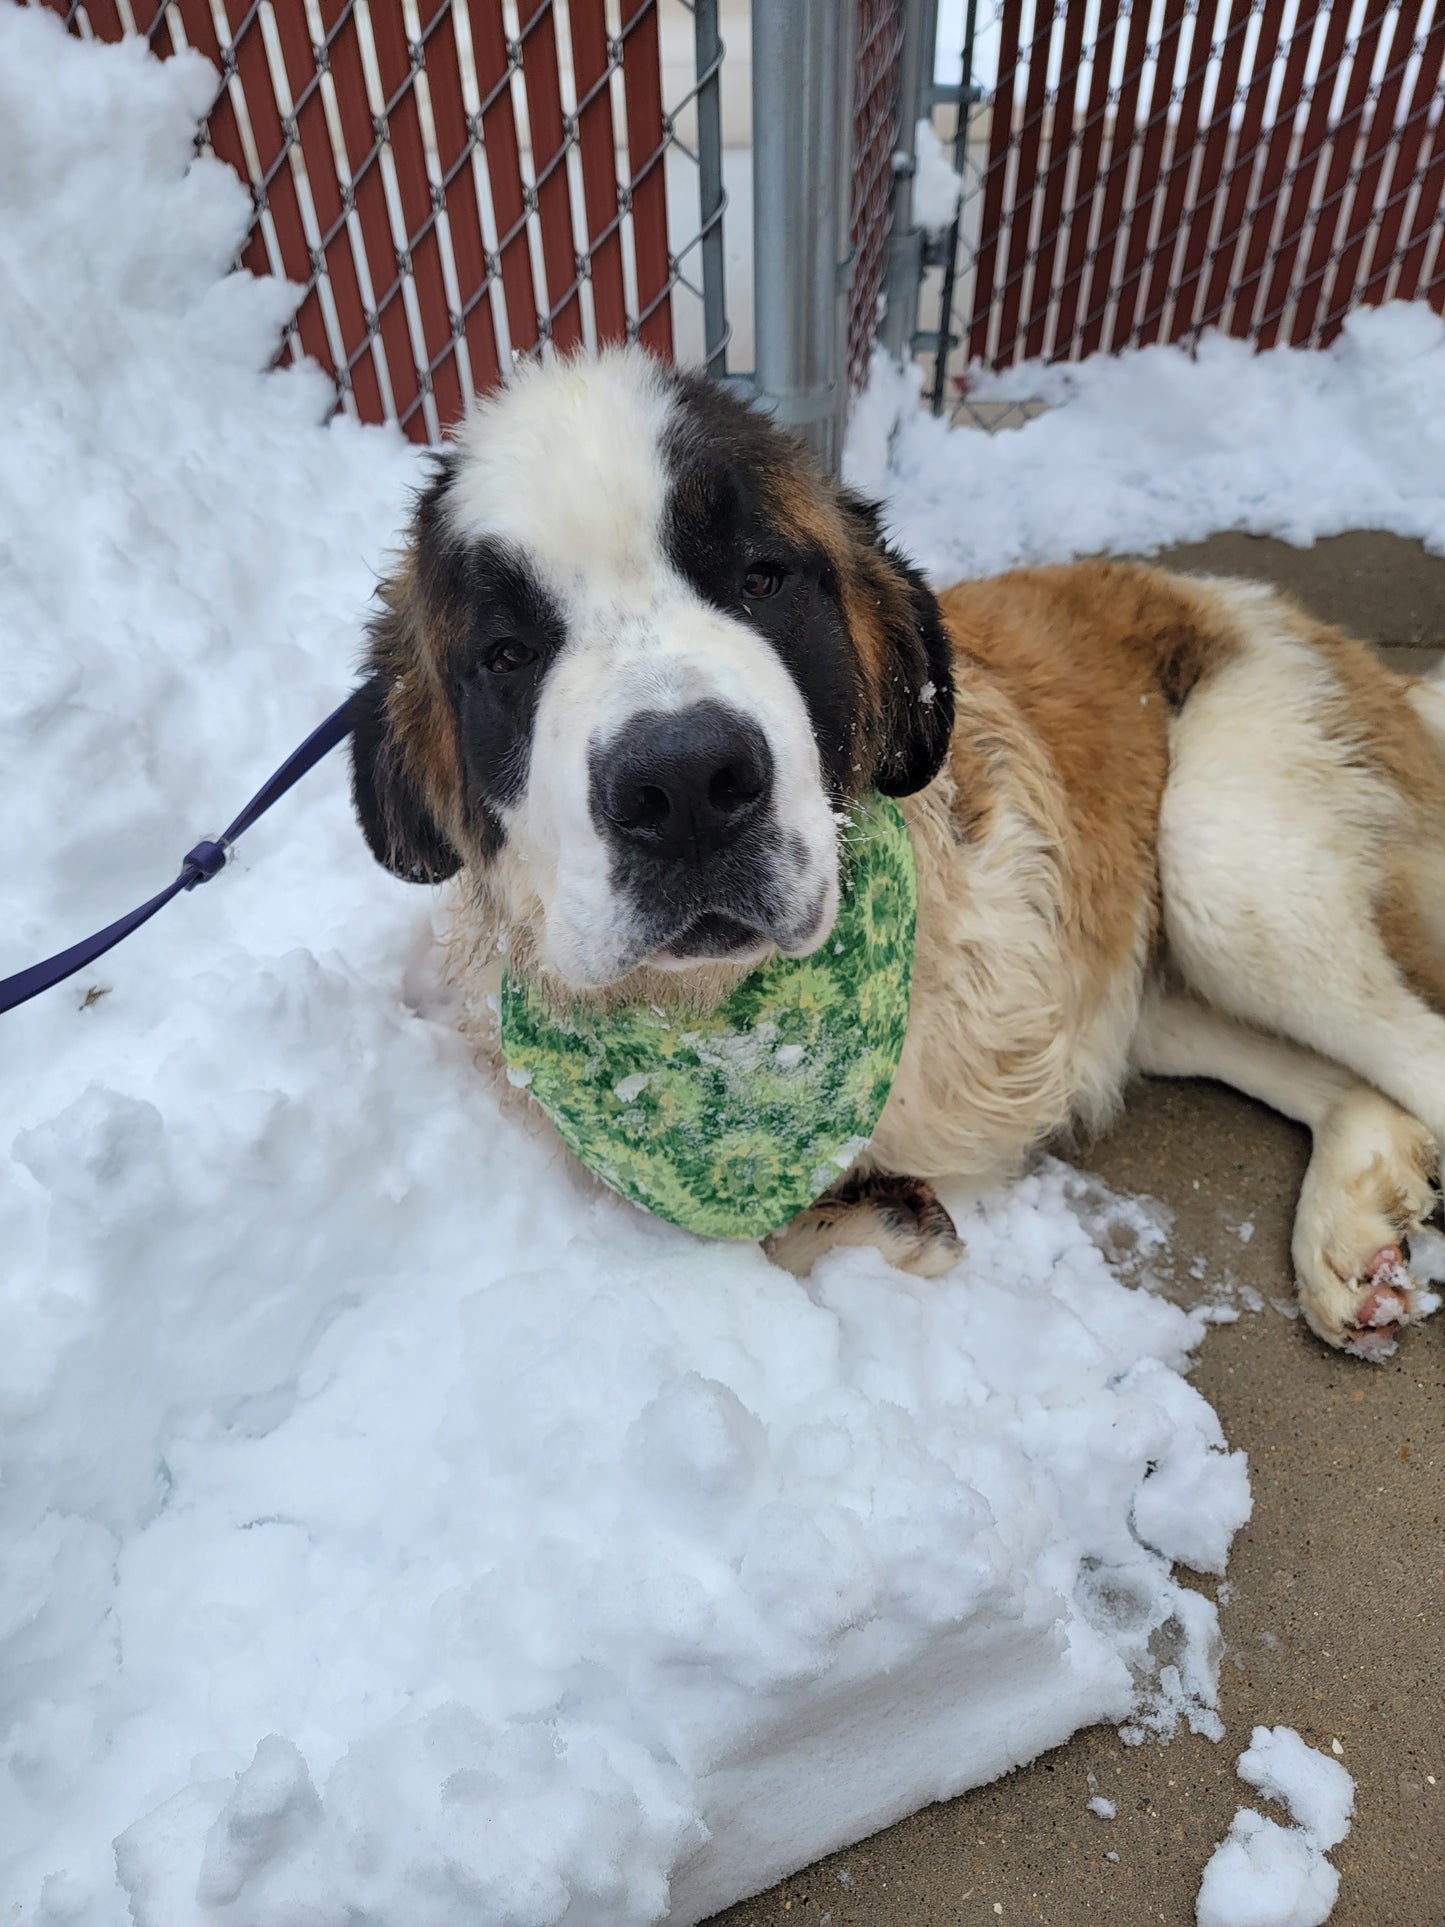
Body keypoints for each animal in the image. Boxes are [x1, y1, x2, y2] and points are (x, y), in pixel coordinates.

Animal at [348, 354, 1445, 1364]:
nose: (685, 782)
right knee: (1357, 1086)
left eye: (760, 579)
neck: (740, 1021)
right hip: (1160, 982)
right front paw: (875, 1215)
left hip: (1227, 861)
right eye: (507, 654)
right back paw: (1353, 1236)